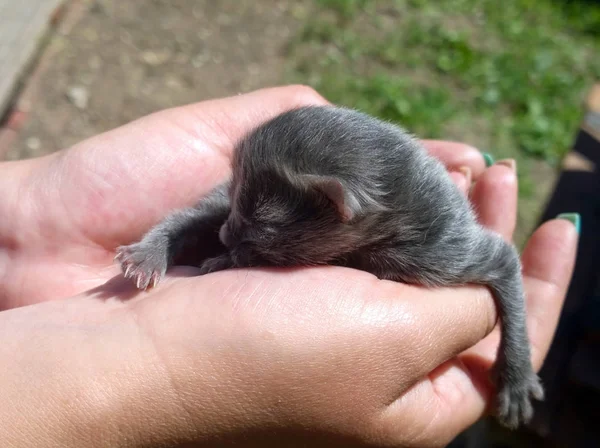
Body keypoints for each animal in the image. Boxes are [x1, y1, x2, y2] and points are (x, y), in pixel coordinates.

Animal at [116, 104, 544, 428]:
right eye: (239, 198)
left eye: (260, 222)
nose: (225, 234)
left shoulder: (444, 250)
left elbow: (506, 265)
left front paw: (516, 377)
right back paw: (150, 253)